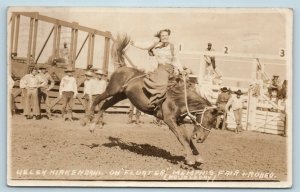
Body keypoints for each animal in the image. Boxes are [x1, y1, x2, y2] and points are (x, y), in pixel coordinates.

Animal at [83, 35, 219, 166]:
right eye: (209, 120)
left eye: (213, 123)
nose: (201, 139)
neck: (178, 98)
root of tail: (123, 67)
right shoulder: (169, 120)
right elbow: (180, 137)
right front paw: (190, 159)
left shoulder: (179, 121)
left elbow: (188, 138)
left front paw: (198, 156)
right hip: (112, 90)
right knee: (97, 98)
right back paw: (87, 119)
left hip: (120, 95)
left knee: (105, 104)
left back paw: (92, 127)